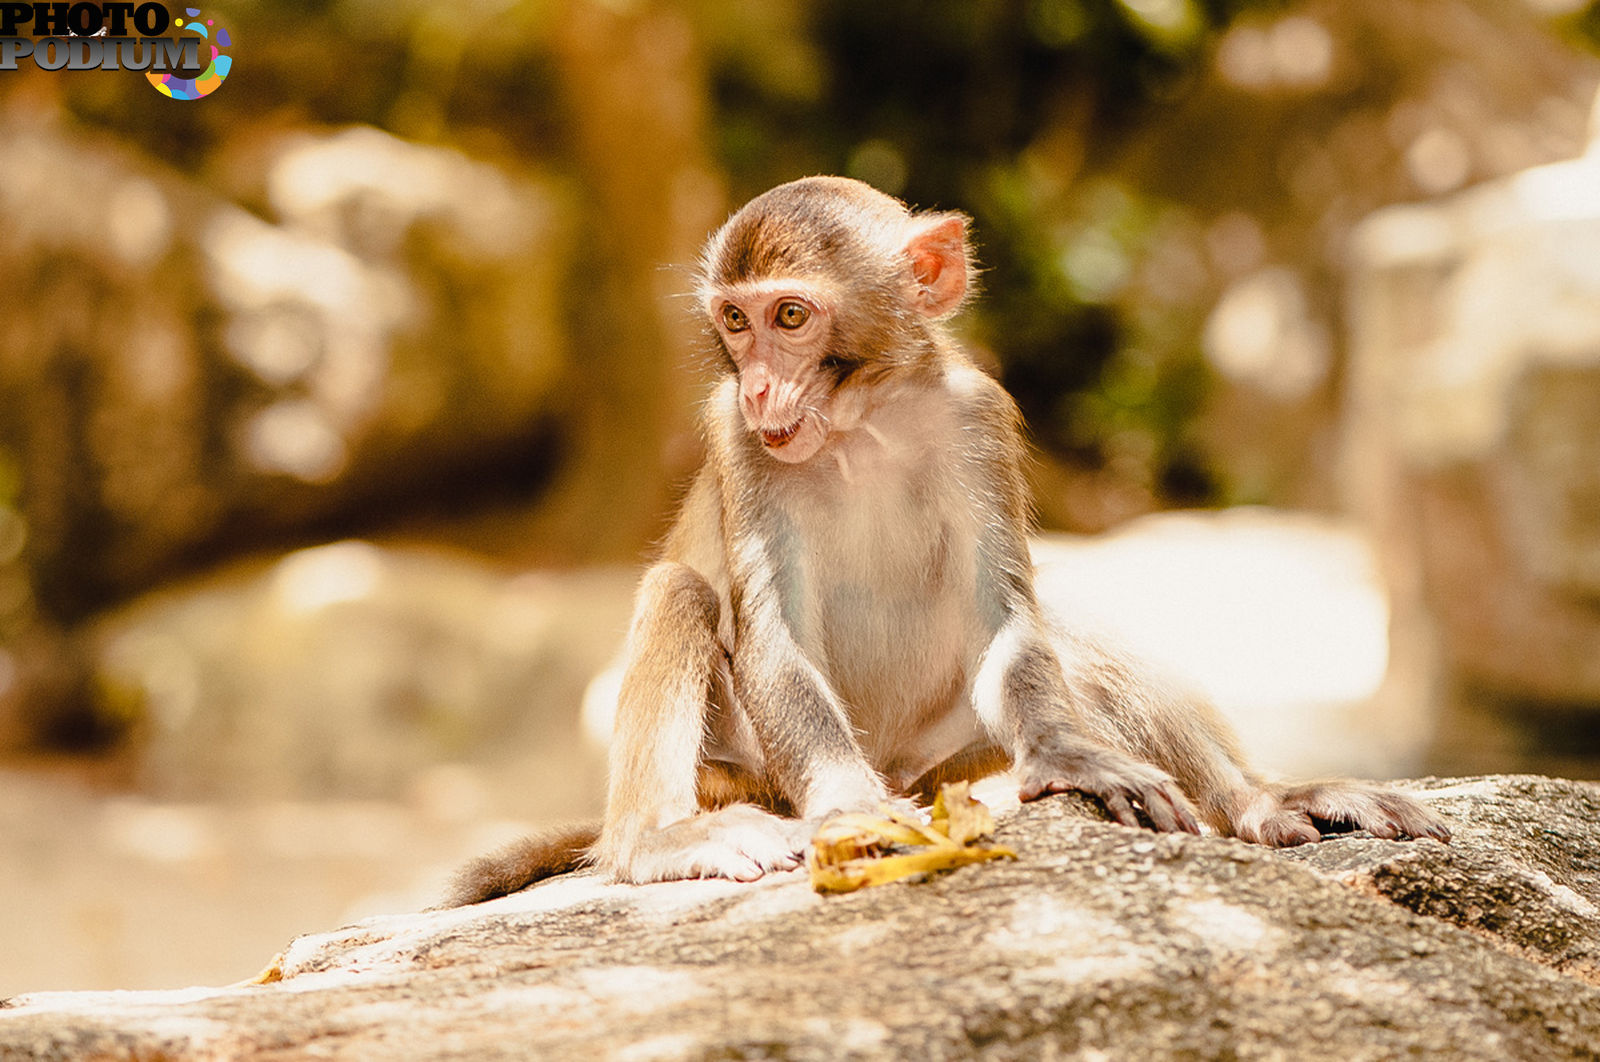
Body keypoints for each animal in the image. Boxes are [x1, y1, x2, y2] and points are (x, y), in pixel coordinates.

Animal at [441, 174, 1452, 902]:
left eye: (790, 316)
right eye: (734, 321)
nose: (762, 386)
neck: (863, 424)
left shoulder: (976, 417)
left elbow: (1008, 614)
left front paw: (1073, 757)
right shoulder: (734, 438)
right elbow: (771, 640)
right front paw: (850, 809)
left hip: (951, 764)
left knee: (1064, 626)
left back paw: (1259, 802)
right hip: (744, 773)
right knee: (680, 592)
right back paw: (656, 841)